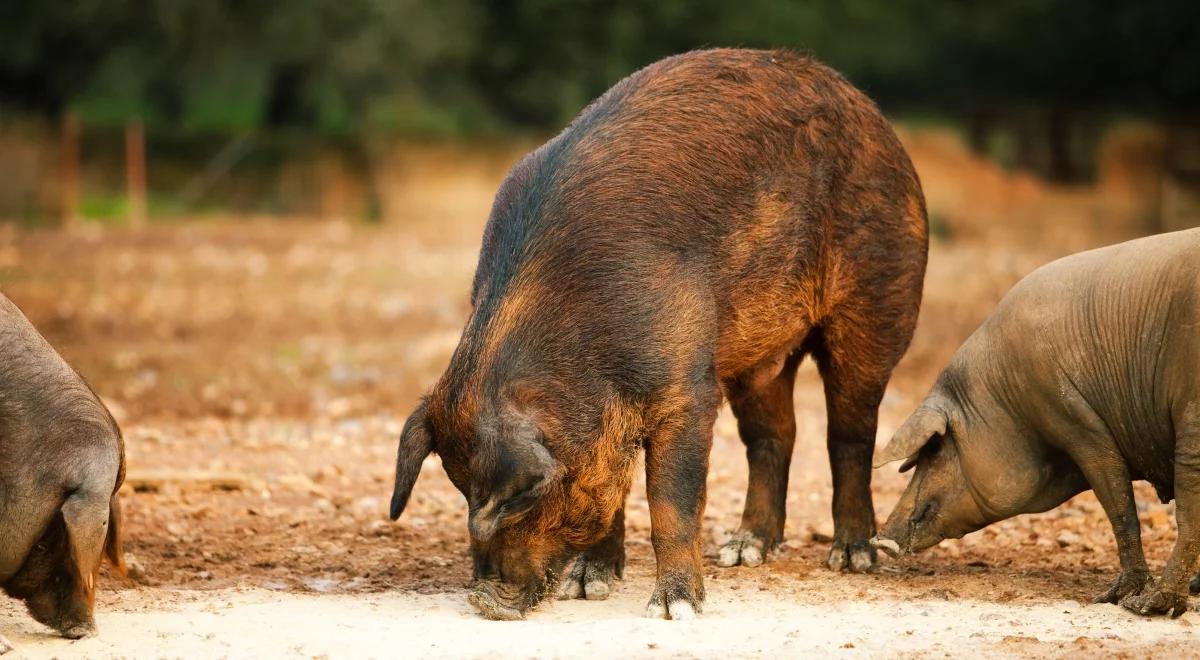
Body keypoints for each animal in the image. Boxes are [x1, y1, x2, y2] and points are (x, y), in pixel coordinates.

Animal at [388, 49, 921, 624]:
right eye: (461, 487)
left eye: (519, 498)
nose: (483, 599)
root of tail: (875, 117)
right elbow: (615, 484)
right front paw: (586, 586)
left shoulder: (687, 389)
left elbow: (671, 499)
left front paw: (674, 610)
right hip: (753, 358)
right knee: (773, 436)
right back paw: (743, 551)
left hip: (878, 304)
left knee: (849, 434)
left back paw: (851, 557)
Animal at [873, 229, 1200, 619]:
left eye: (935, 449)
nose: (880, 540)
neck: (1002, 394)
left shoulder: (1072, 419)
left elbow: (1120, 507)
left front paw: (1112, 597)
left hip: (1191, 412)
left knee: (1190, 508)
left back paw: (1150, 605)